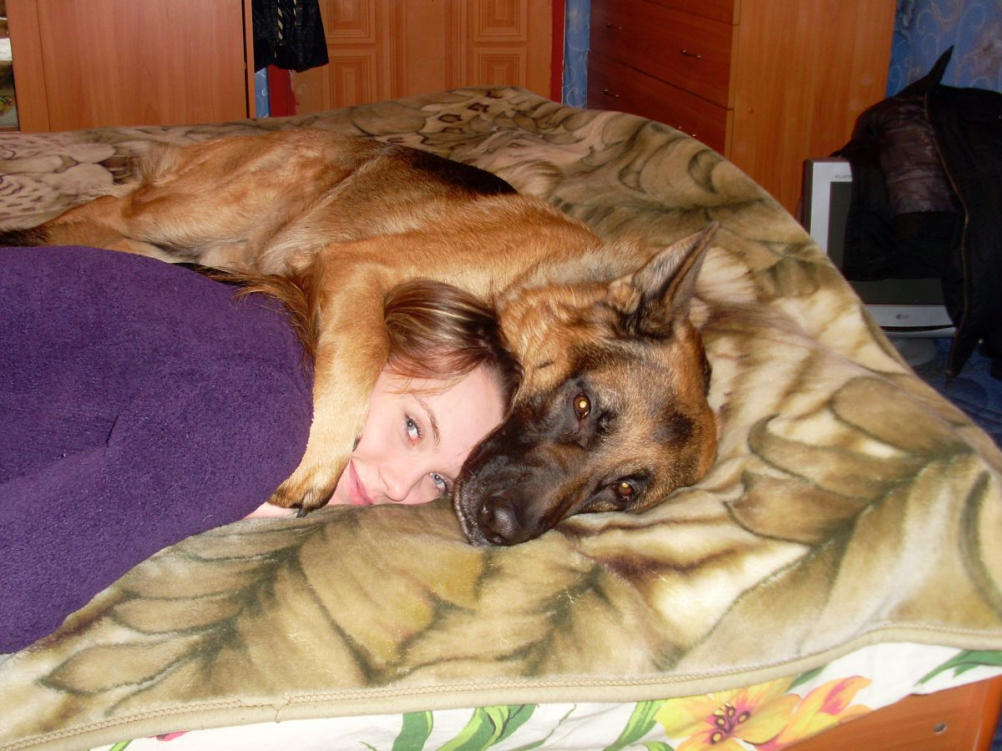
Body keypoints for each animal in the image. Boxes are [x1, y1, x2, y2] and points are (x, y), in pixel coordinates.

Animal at [2, 129, 718, 546]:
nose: (503, 529)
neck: (528, 283)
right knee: (94, 214)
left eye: (622, 492)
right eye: (583, 405)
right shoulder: (358, 265)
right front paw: (317, 456)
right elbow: (368, 343)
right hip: (210, 207)